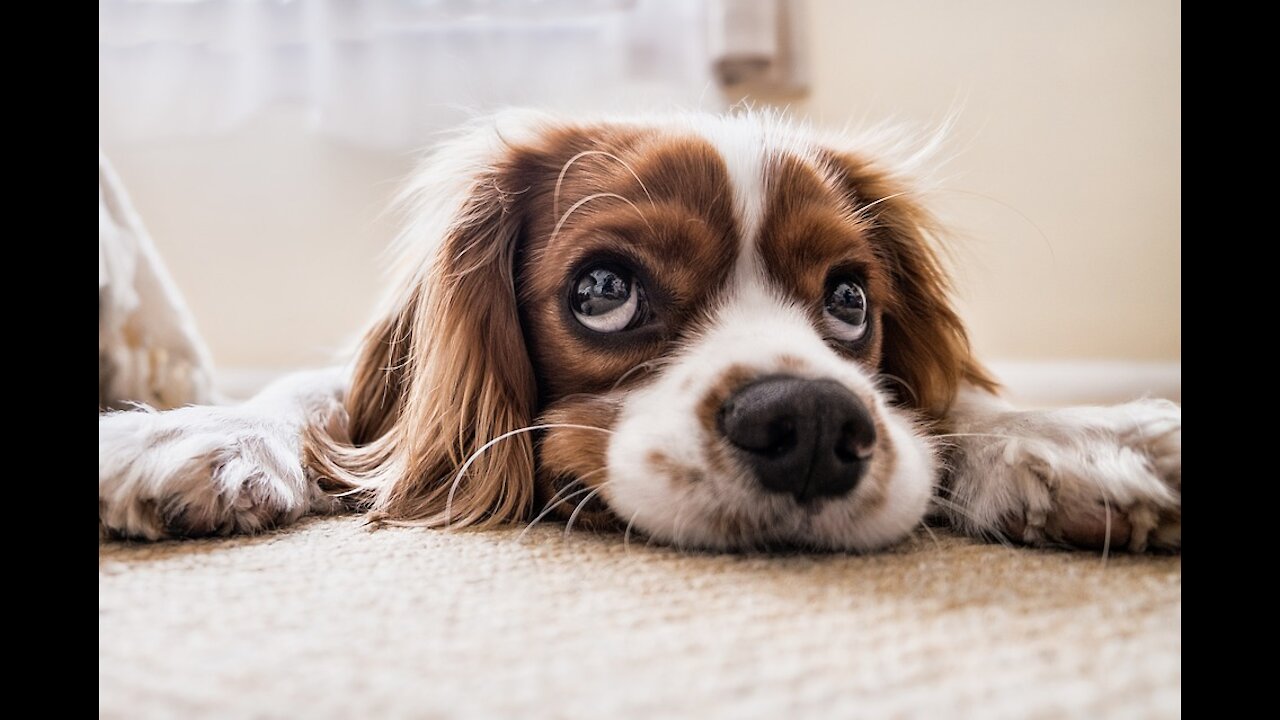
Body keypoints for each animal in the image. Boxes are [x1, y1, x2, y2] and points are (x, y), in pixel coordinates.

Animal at [97, 110, 1177, 548]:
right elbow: (311, 396)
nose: (813, 425)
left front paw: (1075, 439)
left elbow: (954, 406)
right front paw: (196, 434)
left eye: (848, 301)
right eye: (604, 290)